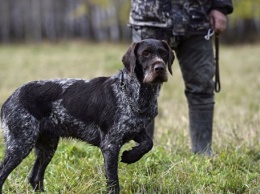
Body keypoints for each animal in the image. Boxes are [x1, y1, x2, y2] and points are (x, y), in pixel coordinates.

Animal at [0, 38, 175, 193]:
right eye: (145, 54)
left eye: (163, 53)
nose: (160, 68)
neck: (135, 93)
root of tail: (8, 100)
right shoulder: (110, 145)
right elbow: (113, 183)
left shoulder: (135, 130)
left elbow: (148, 143)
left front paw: (130, 156)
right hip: (20, 144)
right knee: (4, 173)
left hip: (47, 145)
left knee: (35, 177)